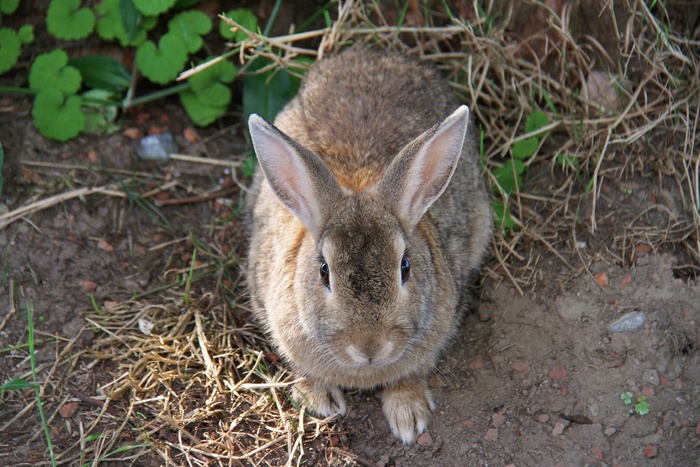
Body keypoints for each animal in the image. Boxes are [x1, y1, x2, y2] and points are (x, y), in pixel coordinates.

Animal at [246, 48, 492, 446]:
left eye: (405, 268)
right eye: (324, 272)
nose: (370, 348)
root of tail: (373, 54)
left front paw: (409, 416)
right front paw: (318, 399)